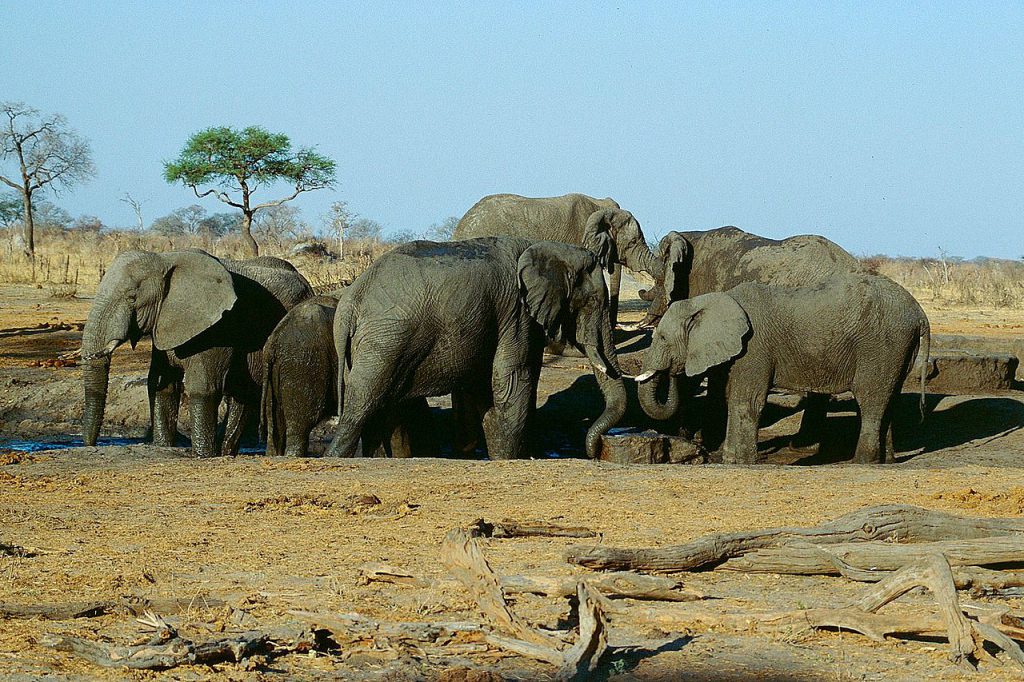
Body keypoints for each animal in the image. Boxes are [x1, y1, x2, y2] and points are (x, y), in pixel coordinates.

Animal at [82, 246, 311, 454]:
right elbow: (162, 385)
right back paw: (226, 452)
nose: (90, 445)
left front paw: (202, 455)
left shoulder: (216, 327)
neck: (165, 259)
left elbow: (203, 386)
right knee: (243, 395)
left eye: (132, 298)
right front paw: (163, 446)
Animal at [323, 236, 626, 458]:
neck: (548, 248)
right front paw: (510, 460)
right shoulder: (517, 313)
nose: (595, 452)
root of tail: (349, 303)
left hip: (368, 347)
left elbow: (489, 392)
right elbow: (513, 383)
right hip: (384, 343)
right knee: (361, 405)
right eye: (593, 302)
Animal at [634, 274, 933, 464]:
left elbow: (747, 401)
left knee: (871, 401)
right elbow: (733, 398)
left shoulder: (754, 347)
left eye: (662, 338)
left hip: (881, 345)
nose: (673, 372)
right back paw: (886, 461)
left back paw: (860, 462)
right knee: (889, 400)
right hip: (898, 349)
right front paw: (729, 459)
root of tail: (920, 313)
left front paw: (739, 462)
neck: (713, 300)